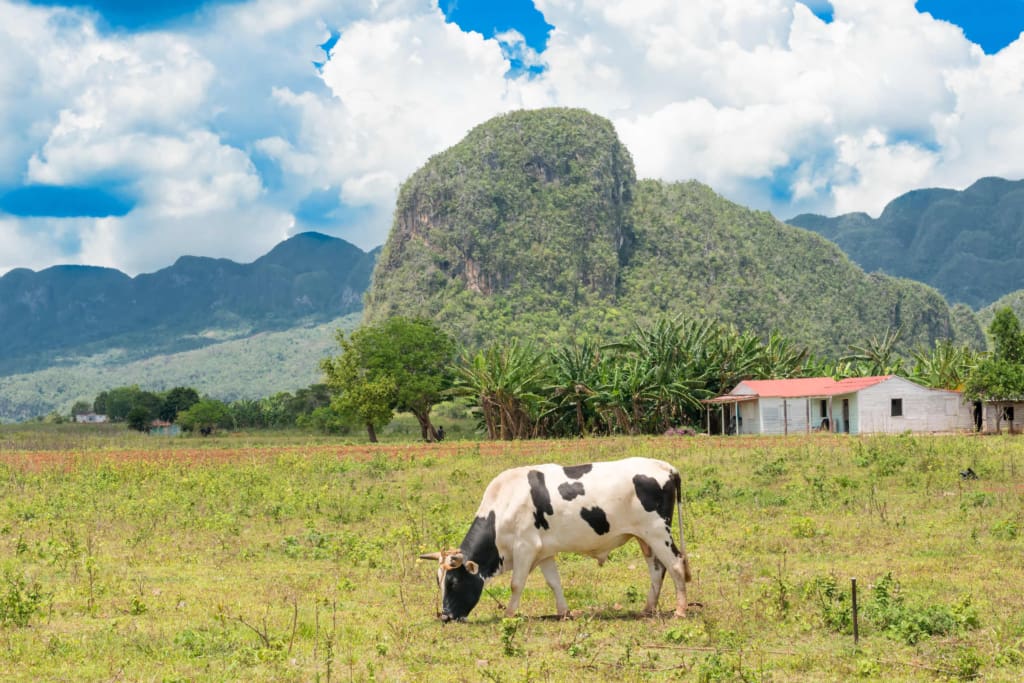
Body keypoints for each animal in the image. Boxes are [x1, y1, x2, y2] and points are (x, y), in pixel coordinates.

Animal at [419, 456, 692, 622]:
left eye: (453, 582)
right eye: (438, 581)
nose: (445, 616)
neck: (504, 505)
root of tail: (664, 467)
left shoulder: (525, 547)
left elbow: (516, 584)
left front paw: (509, 614)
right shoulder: (545, 552)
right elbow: (554, 583)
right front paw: (564, 612)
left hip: (657, 532)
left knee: (676, 564)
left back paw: (680, 611)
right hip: (645, 538)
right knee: (657, 569)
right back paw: (648, 609)